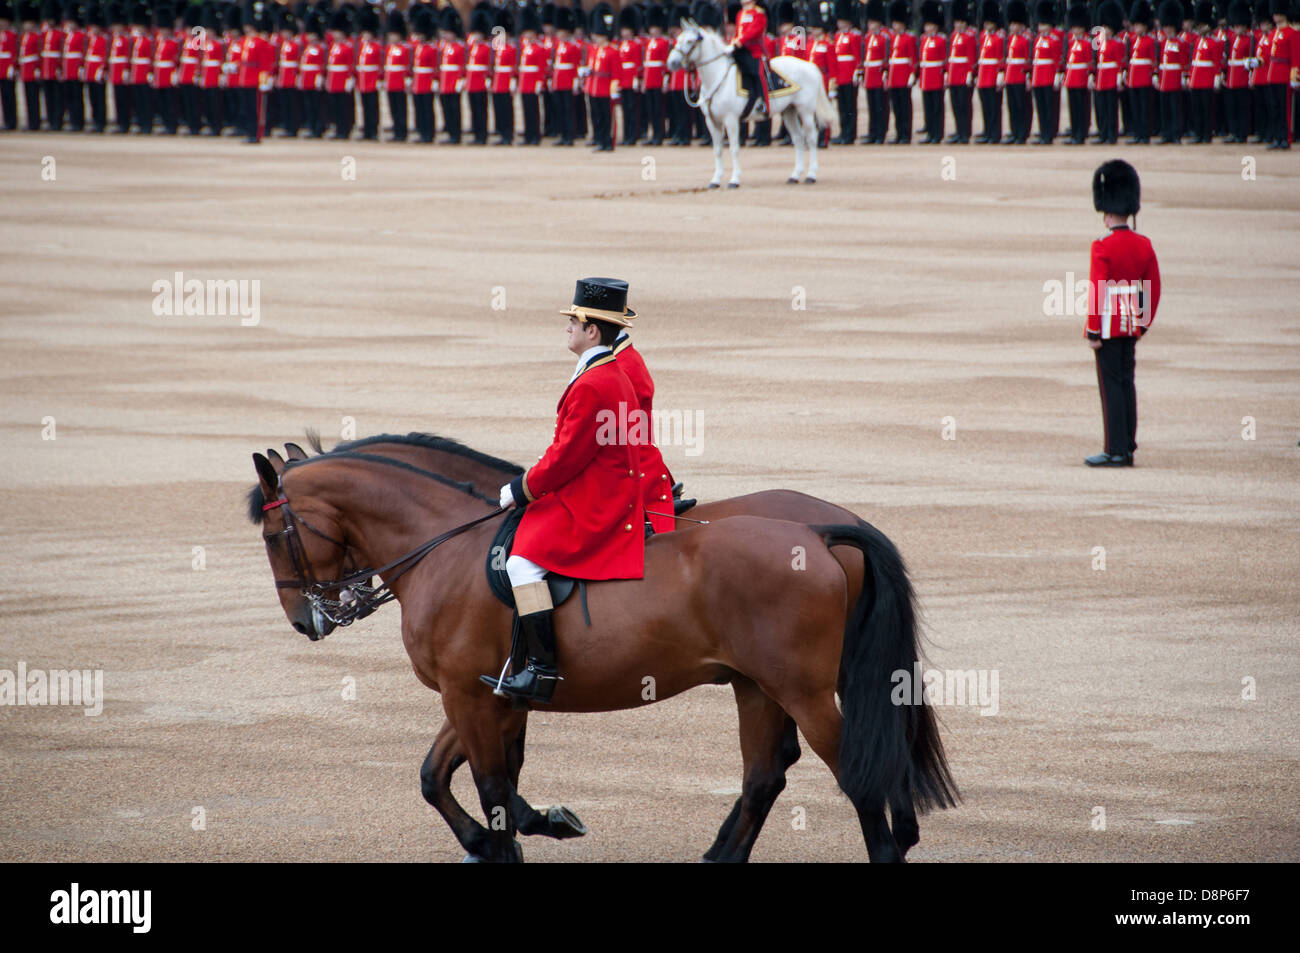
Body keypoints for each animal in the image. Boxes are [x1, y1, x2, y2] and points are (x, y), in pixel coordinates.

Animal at [247, 436, 958, 862]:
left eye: (273, 535)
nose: (305, 621)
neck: (447, 545)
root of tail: (823, 529)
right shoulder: (487, 696)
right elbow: (441, 777)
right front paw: (521, 829)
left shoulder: (470, 697)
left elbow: (492, 788)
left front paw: (514, 834)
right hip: (759, 685)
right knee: (767, 772)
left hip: (801, 690)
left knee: (855, 774)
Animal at [666, 20, 836, 188]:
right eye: (678, 39)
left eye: (690, 41)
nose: (672, 63)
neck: (717, 77)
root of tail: (809, 65)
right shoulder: (712, 121)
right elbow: (718, 150)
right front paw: (715, 180)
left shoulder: (731, 119)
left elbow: (734, 149)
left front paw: (734, 179)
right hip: (789, 111)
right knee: (798, 138)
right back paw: (794, 175)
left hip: (805, 110)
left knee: (811, 138)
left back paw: (811, 175)